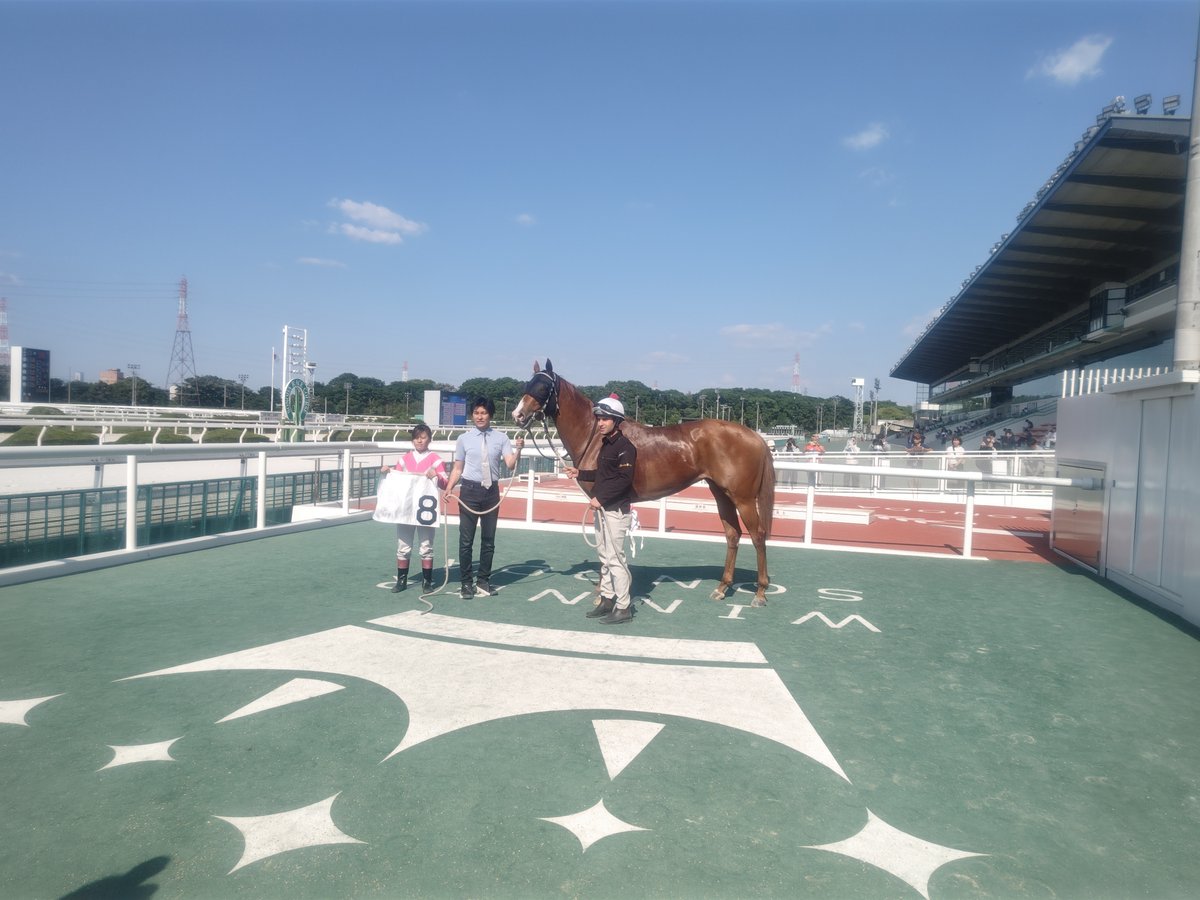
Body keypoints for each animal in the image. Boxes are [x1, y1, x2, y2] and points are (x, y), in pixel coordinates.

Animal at [512, 359, 776, 606]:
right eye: (528, 383)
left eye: (543, 386)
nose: (518, 415)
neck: (598, 436)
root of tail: (756, 436)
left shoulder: (601, 501)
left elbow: (605, 547)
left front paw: (602, 592)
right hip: (722, 494)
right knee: (732, 535)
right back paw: (722, 587)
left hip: (743, 499)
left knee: (758, 536)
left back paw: (760, 592)